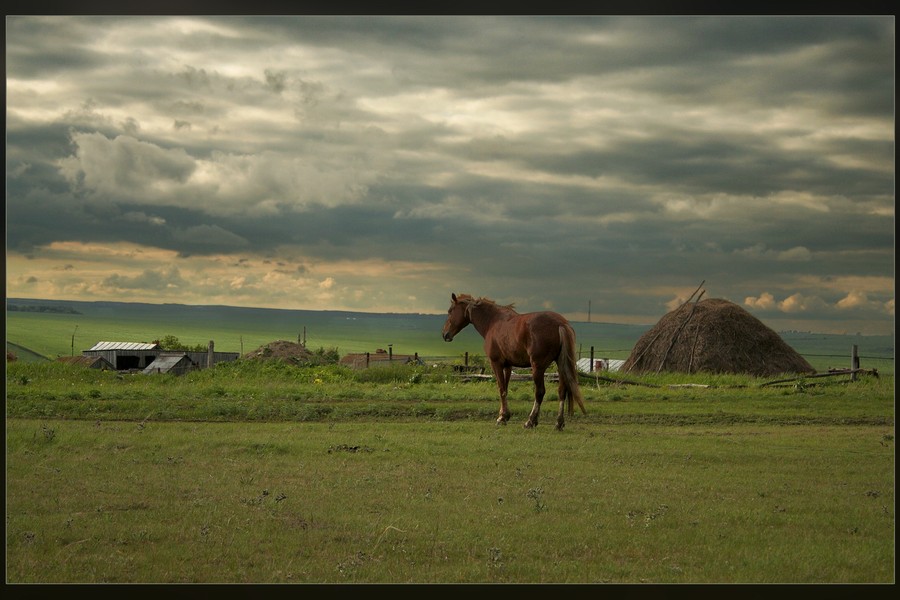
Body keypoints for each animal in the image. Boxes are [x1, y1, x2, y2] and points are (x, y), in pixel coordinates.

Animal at [442, 292, 584, 428]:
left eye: (450, 311)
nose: (445, 334)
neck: (492, 322)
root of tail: (560, 323)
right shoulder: (508, 366)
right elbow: (505, 388)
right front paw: (505, 416)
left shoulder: (496, 364)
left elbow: (501, 389)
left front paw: (502, 418)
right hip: (560, 364)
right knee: (562, 391)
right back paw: (559, 423)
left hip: (538, 367)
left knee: (540, 392)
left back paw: (530, 421)